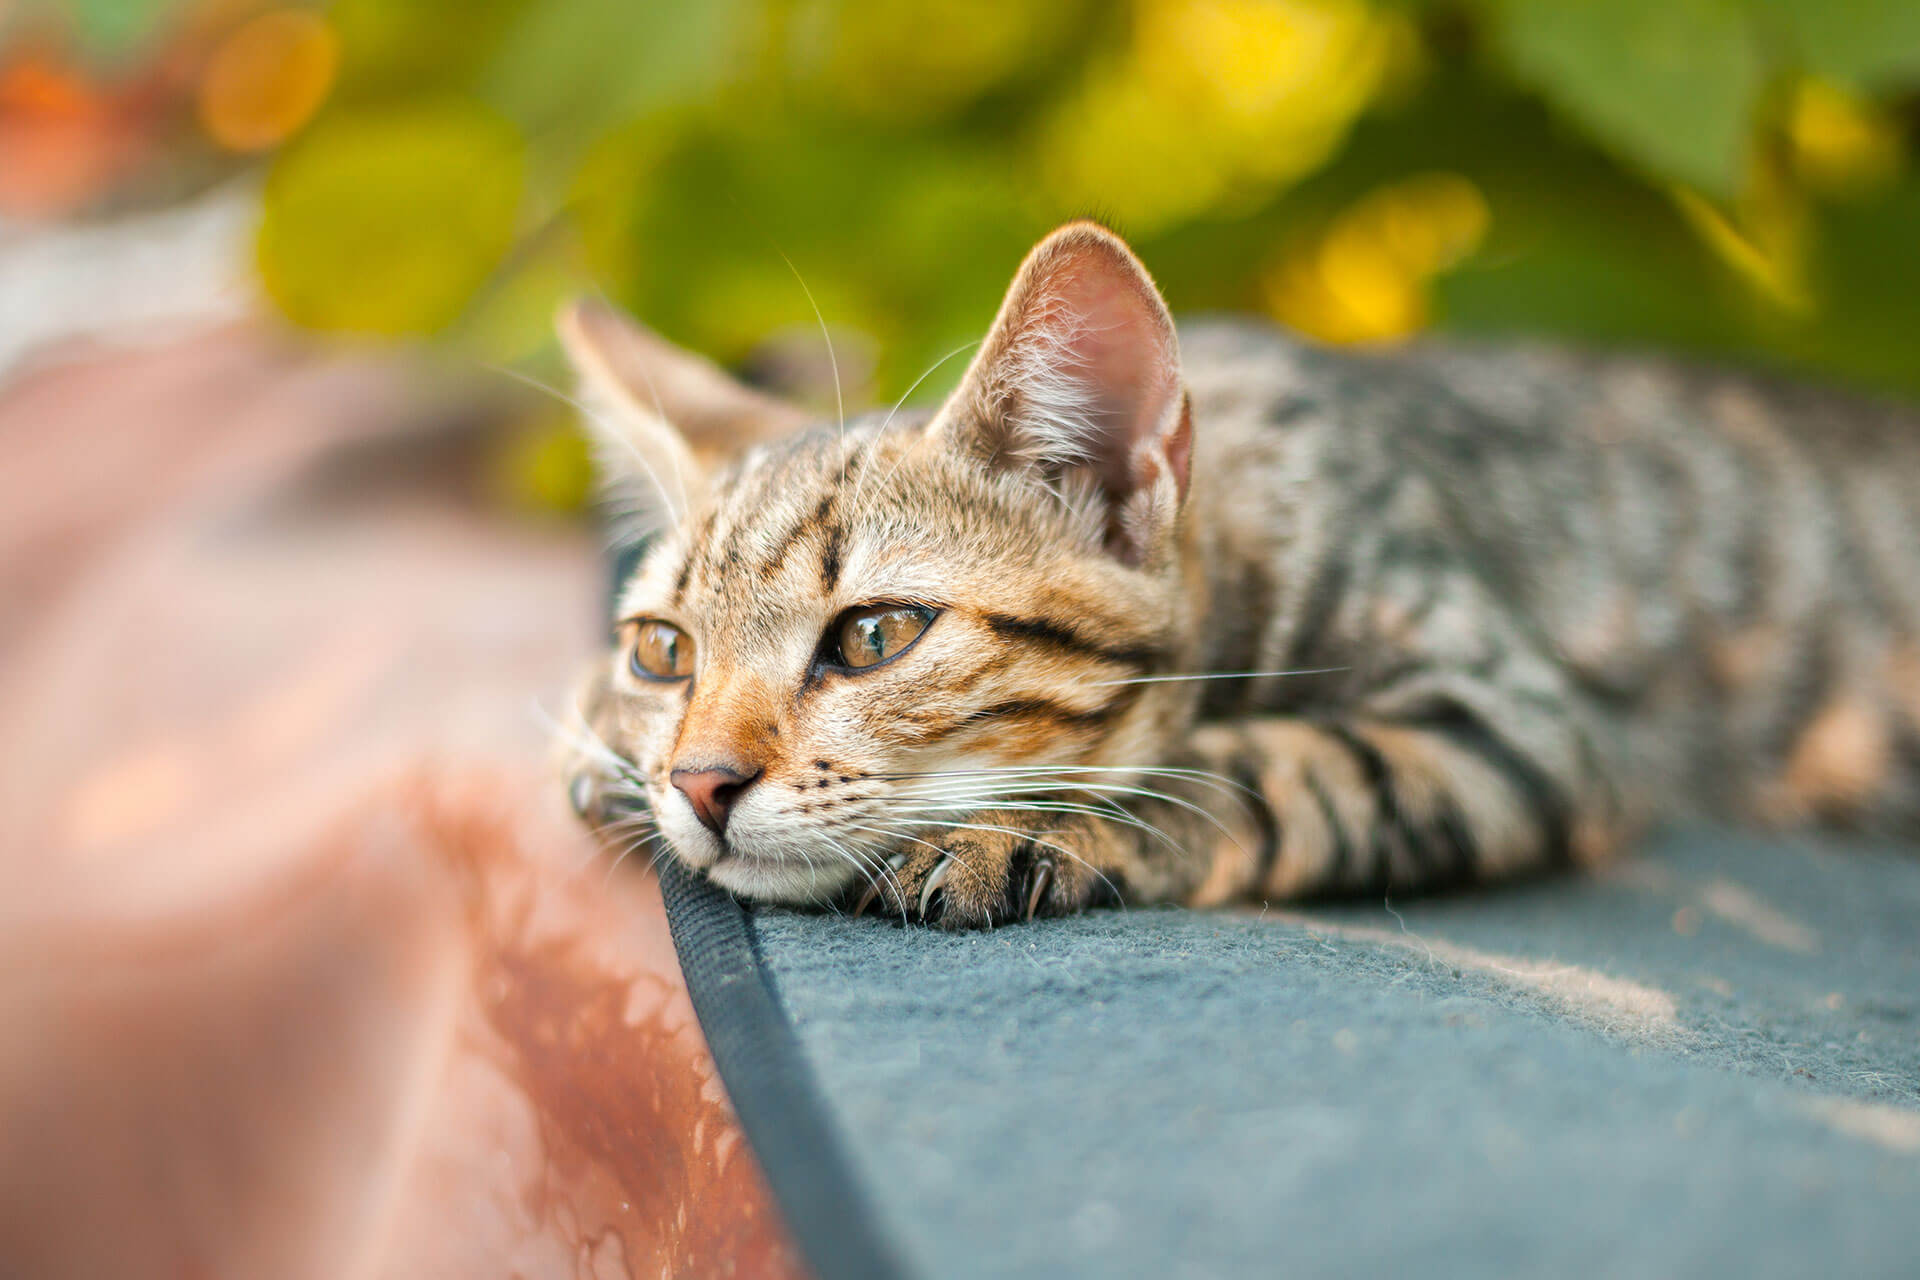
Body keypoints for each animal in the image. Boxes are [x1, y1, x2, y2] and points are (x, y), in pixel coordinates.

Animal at [552, 217, 1920, 921]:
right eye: (663, 650)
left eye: (876, 634)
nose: (701, 781)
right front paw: (600, 746)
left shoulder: (1517, 716)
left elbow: (1260, 761)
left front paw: (1031, 823)